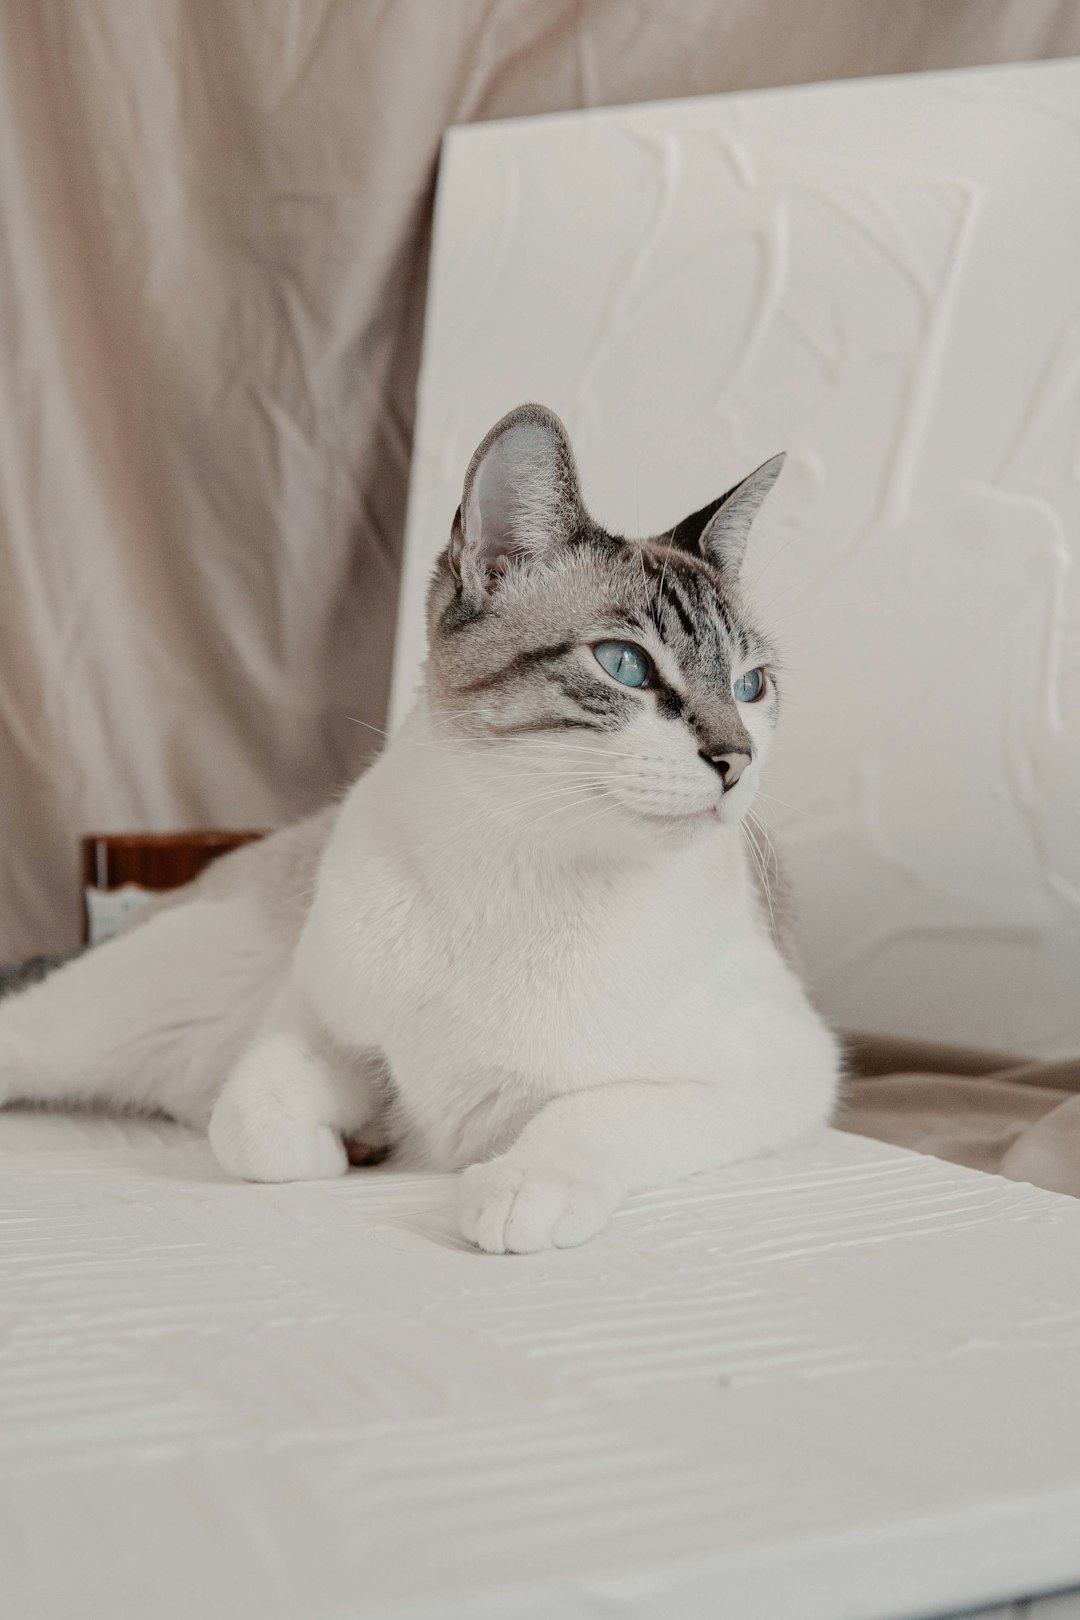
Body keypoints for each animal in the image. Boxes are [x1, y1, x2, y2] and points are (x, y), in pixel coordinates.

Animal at [0, 401, 841, 1250]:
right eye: (625, 666)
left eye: (750, 686)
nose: (736, 760)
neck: (518, 866)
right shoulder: (310, 1015)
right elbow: (254, 1131)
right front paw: (347, 1145)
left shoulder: (782, 1069)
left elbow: (592, 1114)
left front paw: (514, 1189)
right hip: (118, 1014)